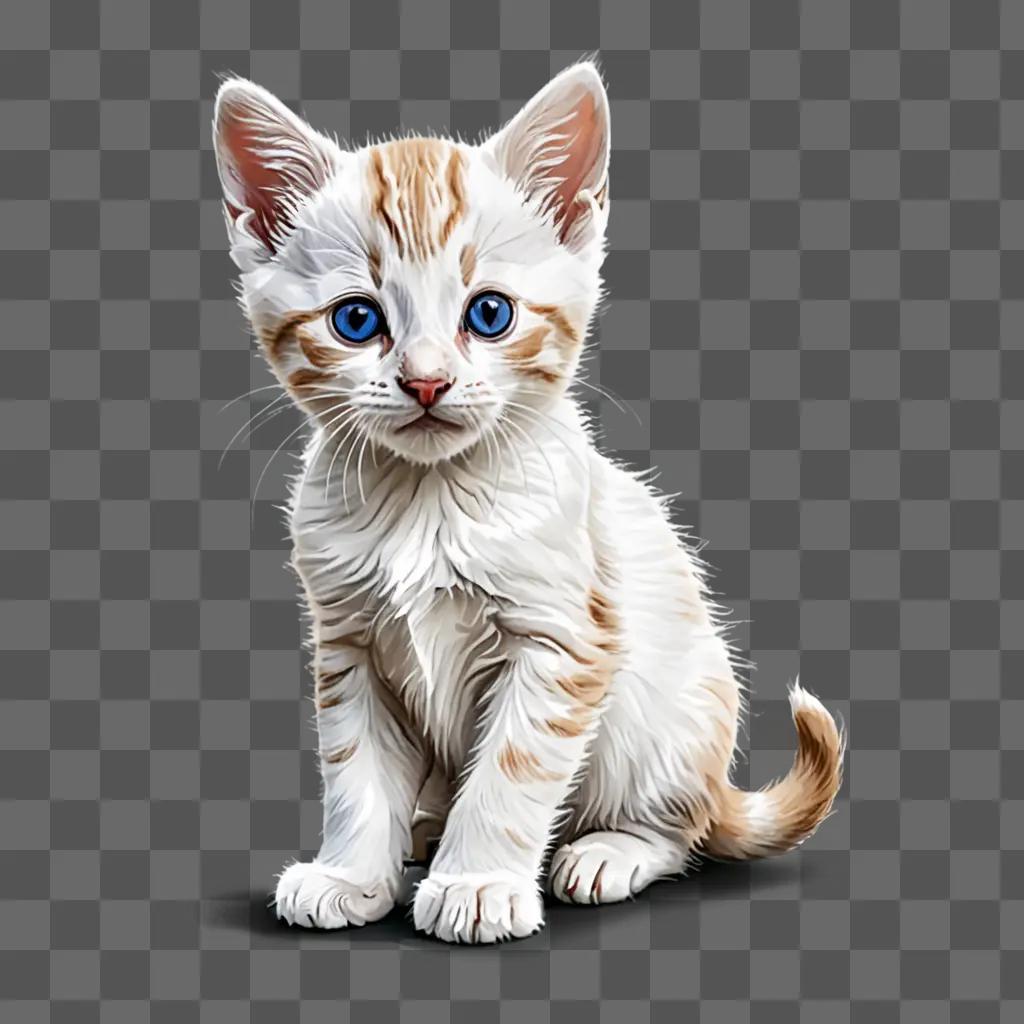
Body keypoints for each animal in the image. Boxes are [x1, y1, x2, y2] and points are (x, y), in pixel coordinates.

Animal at [214, 61, 839, 942]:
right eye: (357, 320)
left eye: (489, 313)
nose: (427, 382)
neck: (428, 502)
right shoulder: (347, 648)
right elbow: (354, 771)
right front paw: (349, 874)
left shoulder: (564, 641)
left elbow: (510, 772)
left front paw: (475, 884)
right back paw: (421, 830)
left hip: (675, 710)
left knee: (682, 826)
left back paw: (607, 850)